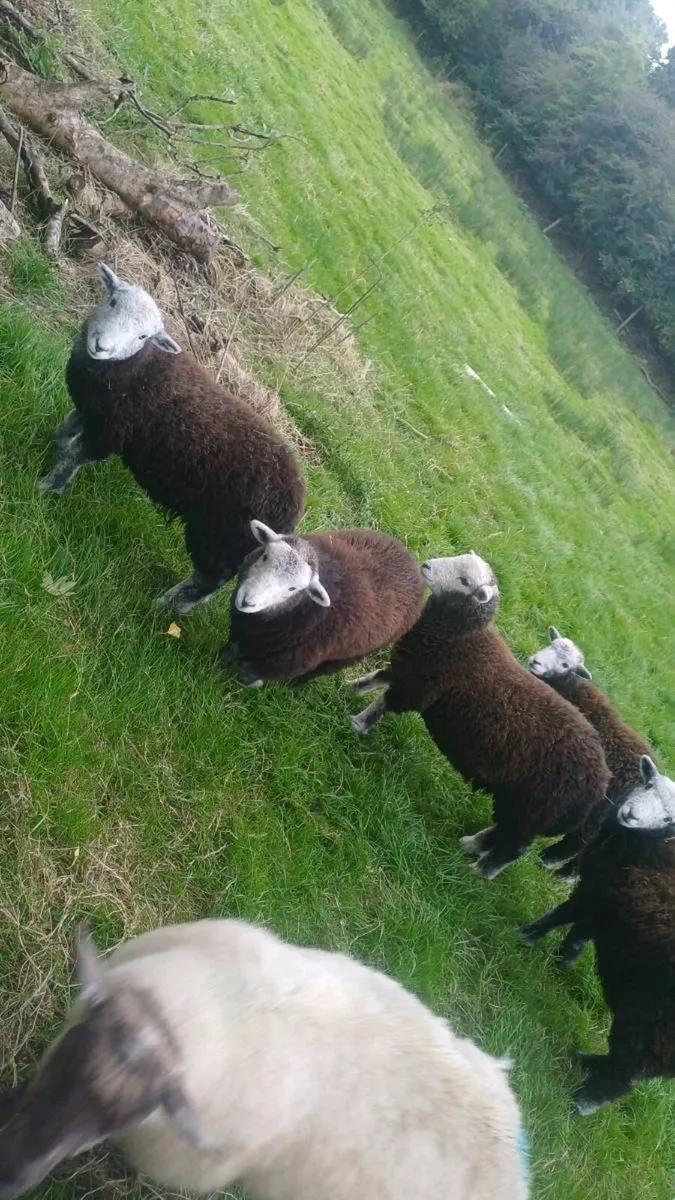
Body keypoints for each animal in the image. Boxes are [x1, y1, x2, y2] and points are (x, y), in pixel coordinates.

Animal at [38, 264, 305, 613]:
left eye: (143, 337)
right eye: (112, 302)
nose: (102, 347)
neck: (138, 368)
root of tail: (293, 507)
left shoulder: (110, 432)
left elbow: (74, 458)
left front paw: (46, 487)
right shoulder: (94, 411)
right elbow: (68, 430)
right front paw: (50, 446)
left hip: (221, 534)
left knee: (207, 581)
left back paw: (166, 606)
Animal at [221, 520, 425, 687]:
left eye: (293, 588)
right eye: (265, 557)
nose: (247, 601)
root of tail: (412, 564)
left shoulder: (289, 662)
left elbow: (248, 675)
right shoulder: (240, 629)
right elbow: (230, 650)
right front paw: (220, 664)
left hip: (350, 656)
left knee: (320, 671)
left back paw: (294, 686)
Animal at [349, 552, 611, 879]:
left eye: (464, 581)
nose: (427, 566)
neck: (459, 637)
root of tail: (598, 788)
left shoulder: (420, 686)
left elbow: (384, 702)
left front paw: (358, 723)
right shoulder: (413, 668)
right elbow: (379, 678)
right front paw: (352, 687)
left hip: (533, 808)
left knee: (513, 848)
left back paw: (480, 871)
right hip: (520, 806)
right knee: (502, 832)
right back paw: (471, 845)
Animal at [521, 755, 675, 1114]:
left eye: (669, 818)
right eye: (648, 784)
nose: (630, 815)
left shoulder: (596, 892)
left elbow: (562, 914)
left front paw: (527, 936)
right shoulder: (607, 899)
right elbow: (578, 931)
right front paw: (560, 959)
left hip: (657, 1031)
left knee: (624, 1077)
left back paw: (579, 1103)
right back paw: (587, 1061)